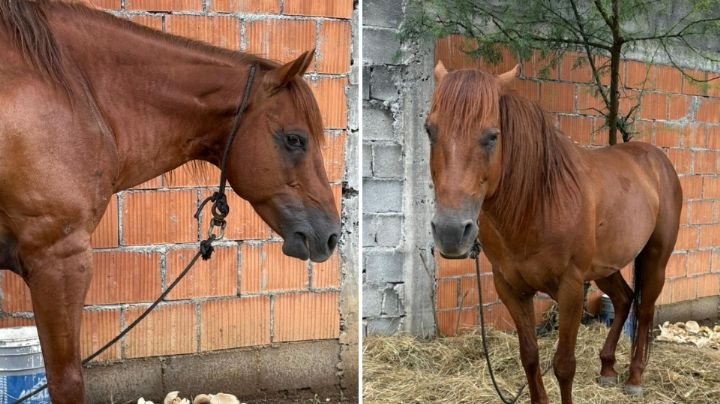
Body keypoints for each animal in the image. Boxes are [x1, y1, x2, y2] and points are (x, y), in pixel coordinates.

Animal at [427, 60, 682, 404]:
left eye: (492, 136)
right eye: (429, 130)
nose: (451, 232)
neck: (538, 203)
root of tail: (656, 159)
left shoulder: (571, 287)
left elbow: (563, 364)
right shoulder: (510, 288)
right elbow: (529, 356)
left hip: (655, 259)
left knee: (644, 310)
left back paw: (635, 378)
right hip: (605, 266)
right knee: (624, 299)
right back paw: (607, 369)